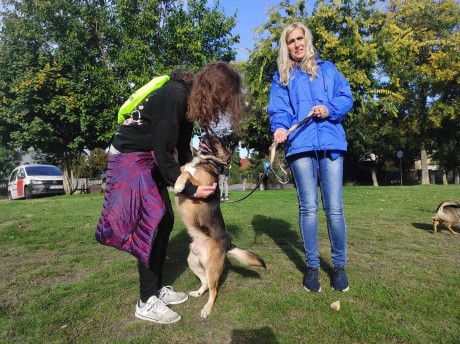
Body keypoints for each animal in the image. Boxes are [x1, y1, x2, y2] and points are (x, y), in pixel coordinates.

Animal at [172, 134, 266, 318]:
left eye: (216, 141)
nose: (203, 136)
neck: (204, 161)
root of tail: (228, 244)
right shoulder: (182, 168)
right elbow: (182, 168)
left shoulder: (202, 185)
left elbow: (186, 174)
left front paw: (178, 186)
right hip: (193, 262)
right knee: (205, 284)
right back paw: (198, 292)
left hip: (212, 269)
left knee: (214, 291)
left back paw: (207, 309)